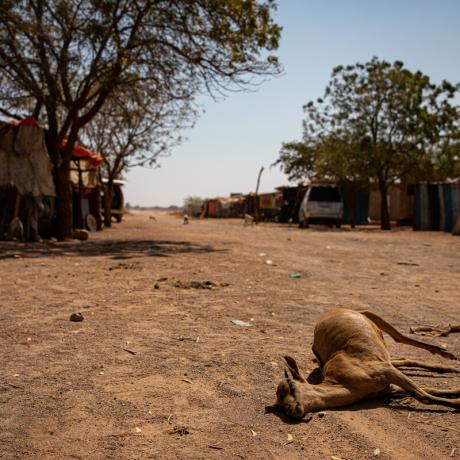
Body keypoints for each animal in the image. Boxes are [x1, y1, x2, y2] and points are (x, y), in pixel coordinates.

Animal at [270, 308, 460, 418]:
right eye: (280, 407)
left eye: (289, 386)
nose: (291, 410)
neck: (346, 384)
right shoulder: (387, 387)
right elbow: (430, 391)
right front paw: (457, 393)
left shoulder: (386, 372)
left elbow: (423, 396)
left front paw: (458, 403)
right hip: (384, 356)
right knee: (404, 358)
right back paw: (448, 367)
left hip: (373, 317)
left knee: (400, 337)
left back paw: (448, 354)